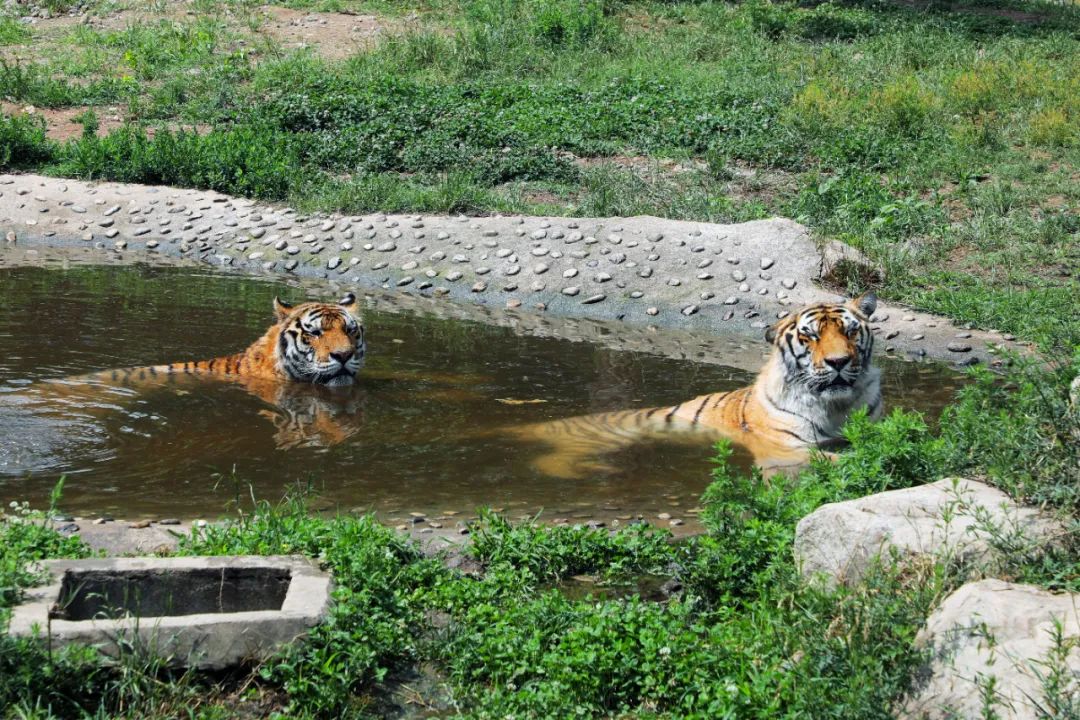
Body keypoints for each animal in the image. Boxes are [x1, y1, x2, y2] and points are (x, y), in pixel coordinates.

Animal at [503, 293, 876, 479]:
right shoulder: (784, 448)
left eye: (850, 331)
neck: (837, 406)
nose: (839, 362)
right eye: (810, 336)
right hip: (589, 442)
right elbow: (838, 459)